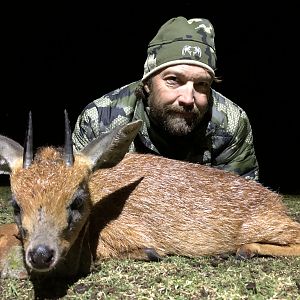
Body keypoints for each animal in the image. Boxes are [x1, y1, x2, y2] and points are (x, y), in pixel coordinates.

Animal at [0, 111, 298, 280]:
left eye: (77, 201)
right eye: (16, 205)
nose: (40, 255)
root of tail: (276, 201)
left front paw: (149, 253)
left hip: (266, 225)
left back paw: (246, 249)